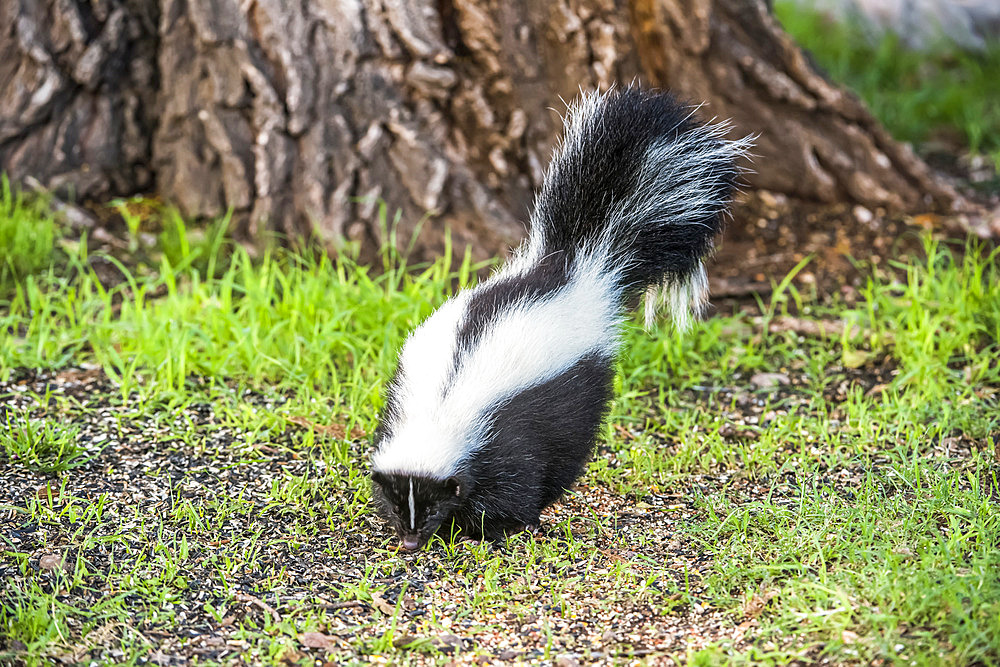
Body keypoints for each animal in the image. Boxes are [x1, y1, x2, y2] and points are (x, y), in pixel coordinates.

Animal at [372, 86, 748, 552]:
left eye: (433, 504)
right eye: (397, 503)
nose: (410, 541)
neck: (440, 410)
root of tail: (575, 267)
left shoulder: (506, 435)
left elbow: (514, 482)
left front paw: (497, 528)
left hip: (581, 394)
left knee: (569, 452)